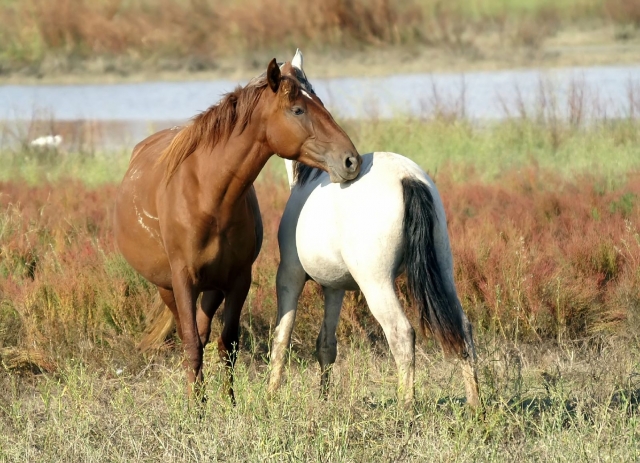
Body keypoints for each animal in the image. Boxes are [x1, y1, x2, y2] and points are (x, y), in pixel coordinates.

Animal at [114, 51, 362, 401]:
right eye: (298, 109)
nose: (351, 161)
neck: (208, 197)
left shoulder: (238, 279)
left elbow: (227, 344)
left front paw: (228, 404)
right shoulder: (183, 281)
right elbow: (192, 344)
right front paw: (195, 407)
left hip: (212, 287)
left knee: (205, 331)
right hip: (169, 288)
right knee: (189, 335)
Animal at [268, 150, 480, 408]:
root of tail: (407, 177)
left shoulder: (290, 275)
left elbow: (281, 337)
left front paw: (271, 395)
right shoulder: (334, 287)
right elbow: (326, 345)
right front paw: (324, 400)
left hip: (376, 284)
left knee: (402, 334)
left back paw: (406, 408)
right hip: (444, 271)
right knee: (463, 329)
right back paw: (475, 406)